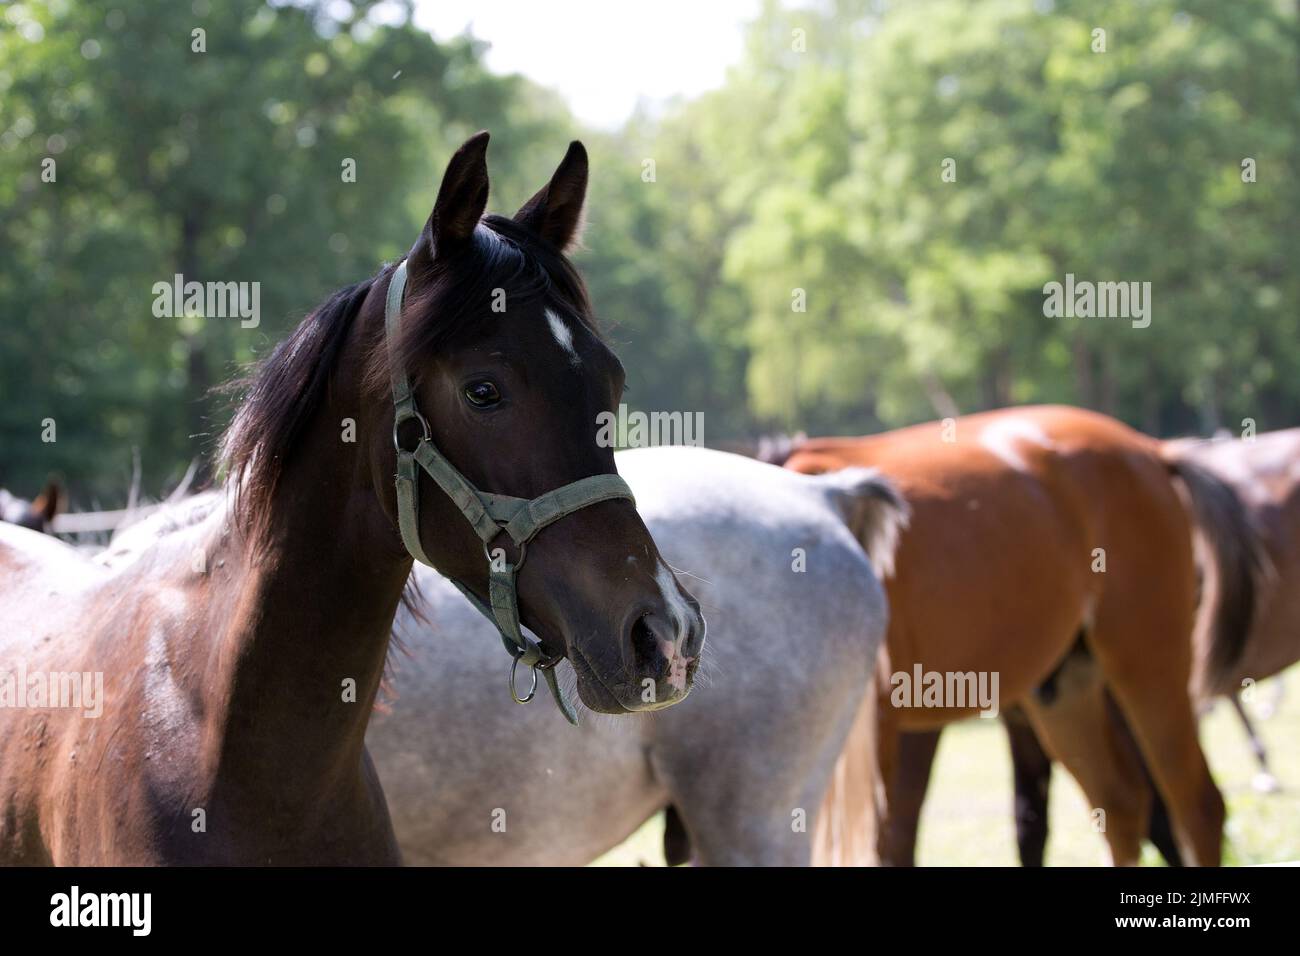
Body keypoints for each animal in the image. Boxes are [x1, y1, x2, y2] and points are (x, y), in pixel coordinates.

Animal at [782, 405, 1260, 866]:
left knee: (1197, 805)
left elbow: (882, 841)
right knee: (1121, 804)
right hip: (1064, 689)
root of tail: (1152, 451)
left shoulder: (882, 723)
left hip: (1147, 662)